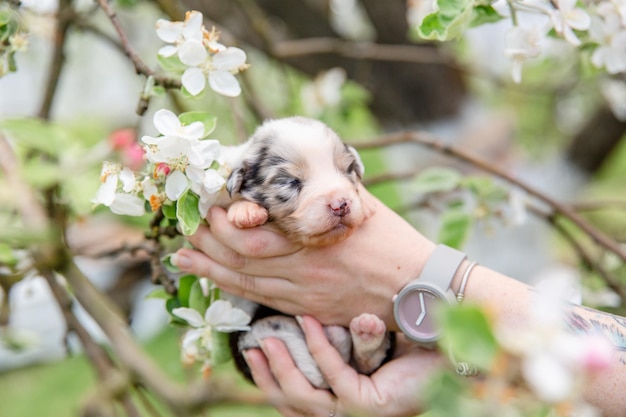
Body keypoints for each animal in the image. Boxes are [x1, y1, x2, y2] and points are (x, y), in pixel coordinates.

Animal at [218, 116, 394, 386]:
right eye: (290, 182)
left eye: (347, 170)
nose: (341, 204)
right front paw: (245, 211)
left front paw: (367, 204)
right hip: (264, 331)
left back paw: (365, 332)